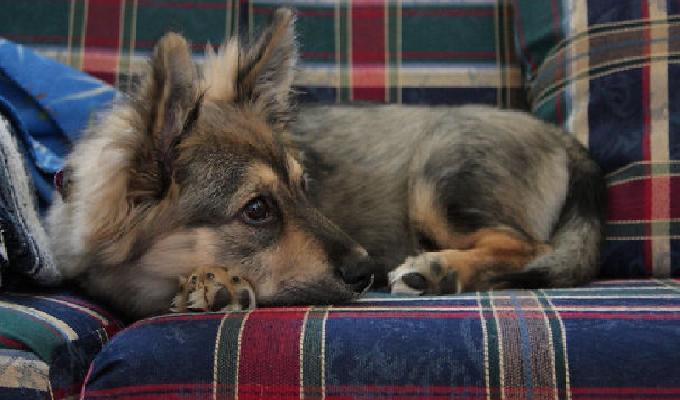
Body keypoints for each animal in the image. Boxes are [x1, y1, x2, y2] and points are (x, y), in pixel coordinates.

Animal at [50, 9, 608, 318]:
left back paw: (438, 269)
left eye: (304, 186)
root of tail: (563, 138)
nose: (366, 272)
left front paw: (213, 284)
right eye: (257, 210)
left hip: (437, 179)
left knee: (528, 247)